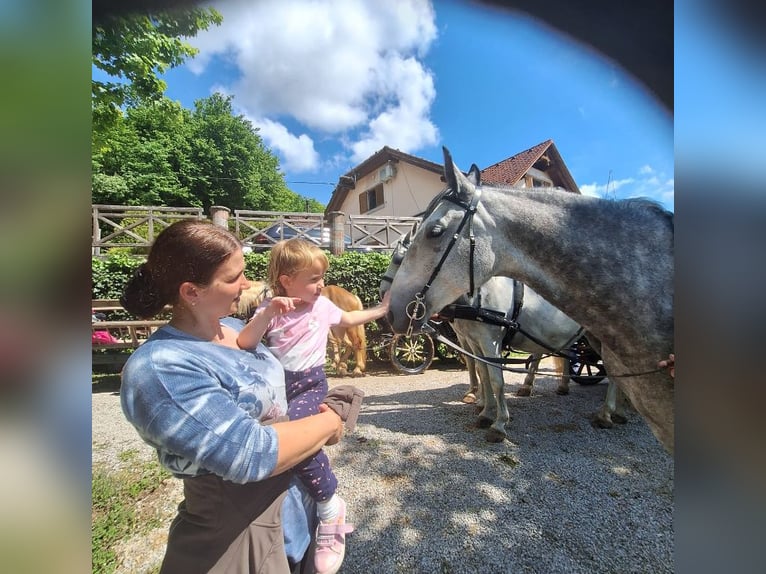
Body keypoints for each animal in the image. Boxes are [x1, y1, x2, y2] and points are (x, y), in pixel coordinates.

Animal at [388, 148, 676, 454]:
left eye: (435, 231)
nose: (391, 311)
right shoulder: (474, 342)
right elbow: (482, 373)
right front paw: (484, 410)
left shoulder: (489, 340)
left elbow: (496, 379)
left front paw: (498, 423)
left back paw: (607, 412)